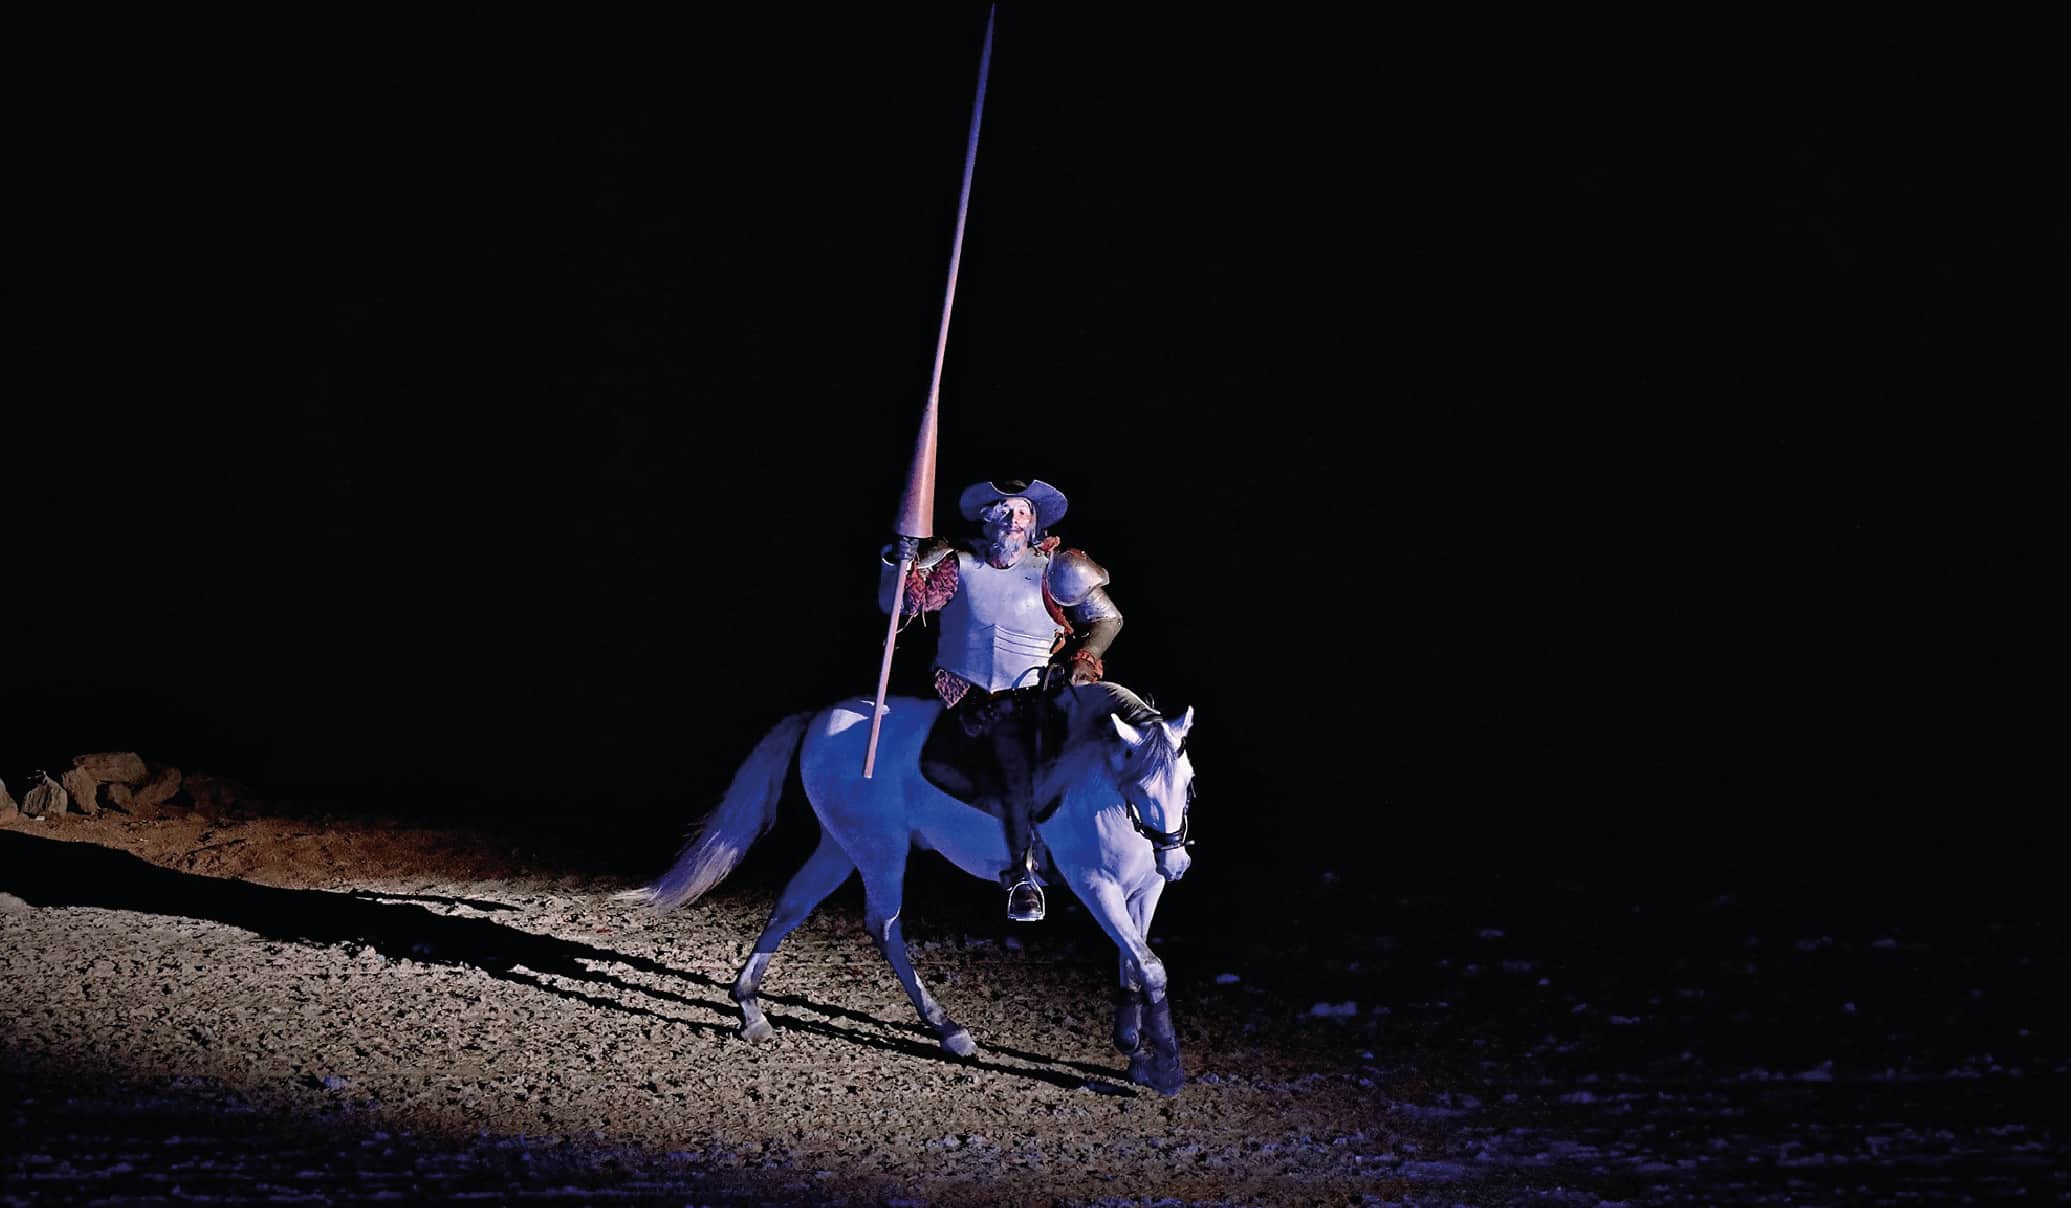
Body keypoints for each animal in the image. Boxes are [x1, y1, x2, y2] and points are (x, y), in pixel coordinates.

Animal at [616, 681, 1198, 1095]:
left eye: (1188, 783)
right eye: (1141, 786)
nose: (1176, 864)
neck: (1104, 793)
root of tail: (822, 718)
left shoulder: (1143, 893)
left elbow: (1130, 962)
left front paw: (1133, 1047)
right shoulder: (1095, 886)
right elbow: (1150, 966)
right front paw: (1166, 1069)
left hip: (840, 845)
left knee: (791, 906)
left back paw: (750, 1007)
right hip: (881, 850)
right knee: (884, 925)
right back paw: (946, 1028)